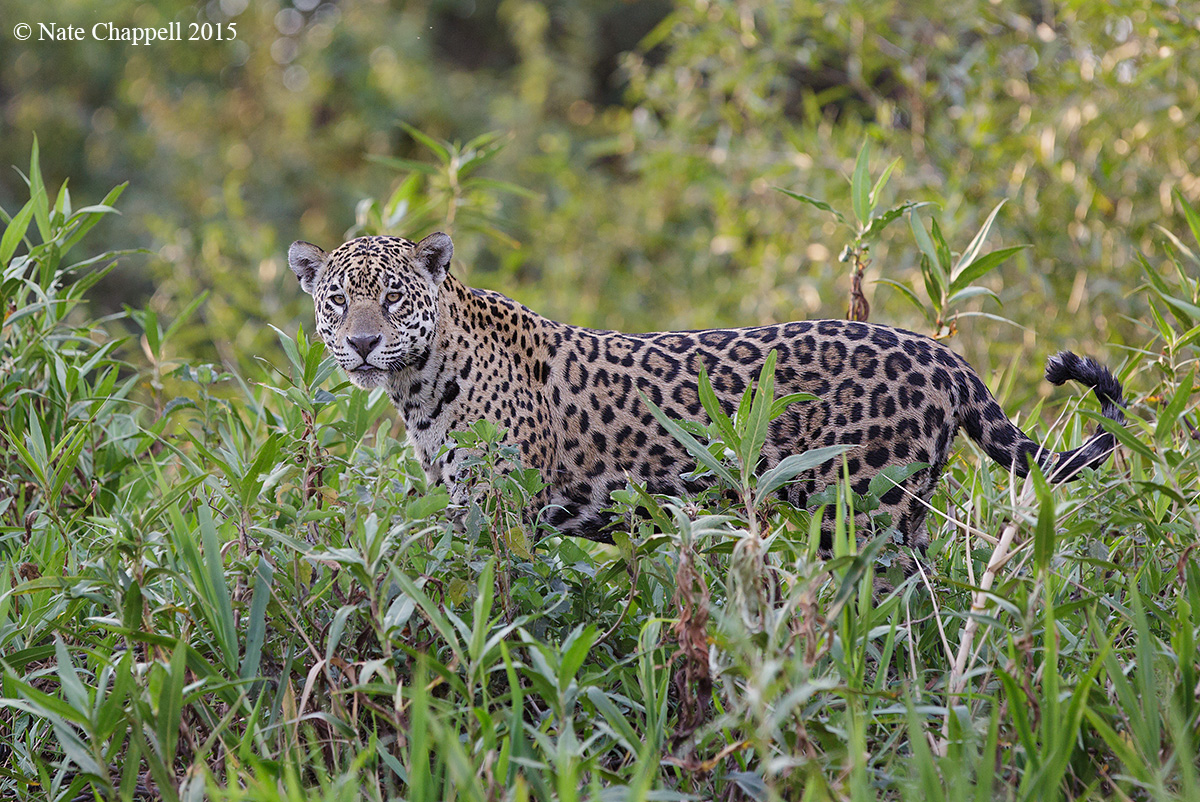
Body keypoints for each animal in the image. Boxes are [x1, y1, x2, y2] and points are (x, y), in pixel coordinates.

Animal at [288, 232, 1125, 551]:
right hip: (904, 513)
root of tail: (940, 354)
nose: (361, 343)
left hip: (865, 512)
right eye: (338, 300)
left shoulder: (496, 509)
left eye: (393, 300)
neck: (418, 382)